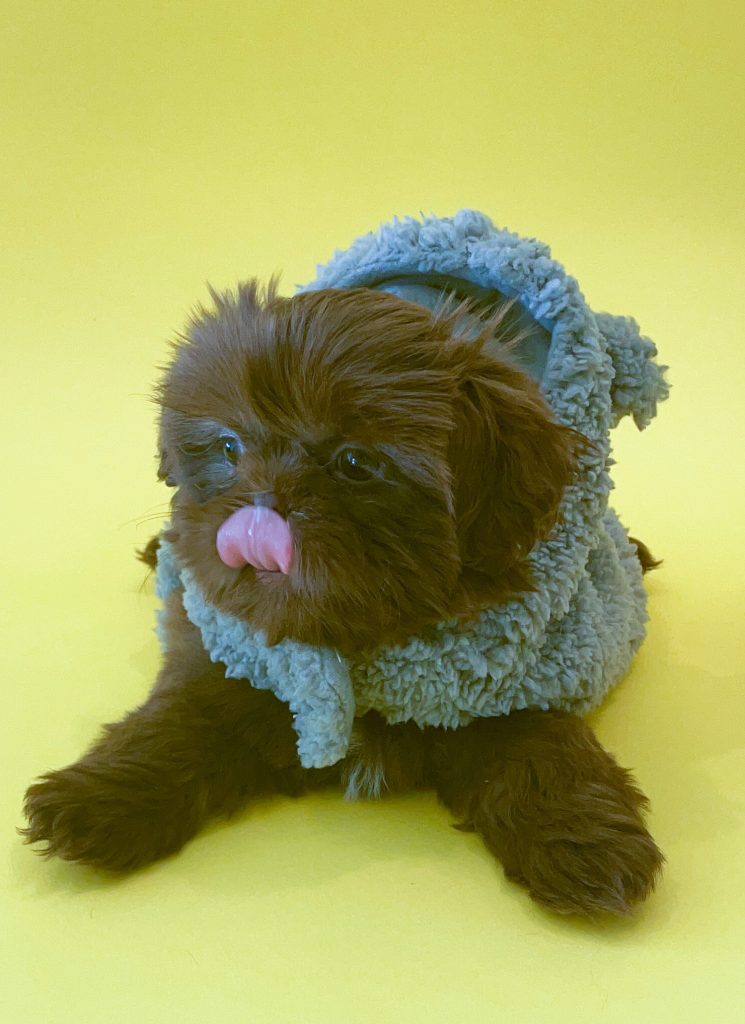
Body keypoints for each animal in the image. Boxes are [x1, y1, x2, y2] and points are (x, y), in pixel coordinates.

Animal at [23, 284, 663, 917]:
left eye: (356, 463)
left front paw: (583, 837)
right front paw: (96, 796)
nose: (264, 499)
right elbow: (174, 723)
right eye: (229, 447)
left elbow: (543, 747)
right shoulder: (224, 656)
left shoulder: (513, 681)